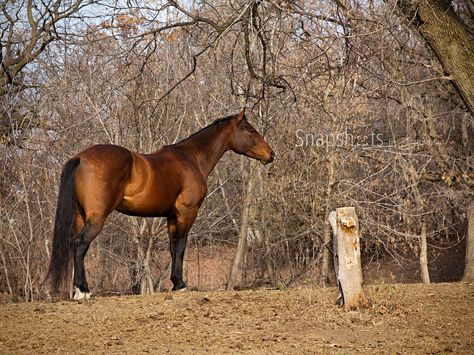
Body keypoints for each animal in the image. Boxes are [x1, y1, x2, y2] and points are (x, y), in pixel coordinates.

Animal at [46, 111, 274, 300]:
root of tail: (80, 157)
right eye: (250, 129)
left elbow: (173, 247)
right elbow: (181, 246)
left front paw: (175, 282)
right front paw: (180, 284)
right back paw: (83, 291)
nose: (270, 154)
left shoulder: (171, 216)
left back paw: (79, 289)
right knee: (81, 244)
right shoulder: (187, 212)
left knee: (75, 244)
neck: (191, 158)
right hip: (97, 217)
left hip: (80, 216)